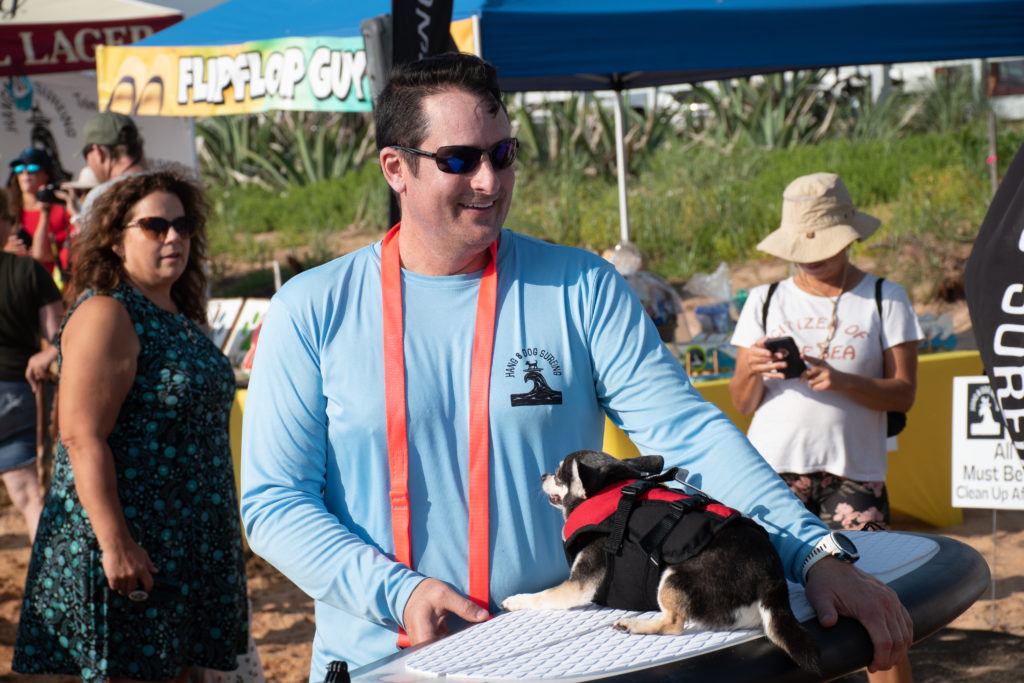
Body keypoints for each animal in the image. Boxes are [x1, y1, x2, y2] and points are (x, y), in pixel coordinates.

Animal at [499, 448, 819, 671]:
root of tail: (772, 581)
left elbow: (543, 596)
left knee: (674, 624)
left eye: (558, 474)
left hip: (674, 578)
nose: (542, 475)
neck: (609, 490)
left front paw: (516, 600)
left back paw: (634, 625)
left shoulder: (579, 584)